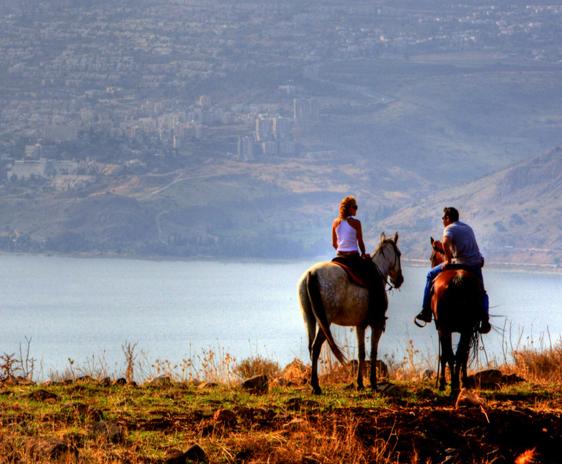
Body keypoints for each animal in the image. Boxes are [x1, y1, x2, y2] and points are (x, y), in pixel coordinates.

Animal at [296, 234, 400, 394]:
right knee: (316, 347)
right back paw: (316, 386)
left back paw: (314, 384)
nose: (399, 280)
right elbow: (373, 352)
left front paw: (360, 383)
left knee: (311, 346)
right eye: (399, 254)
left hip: (309, 319)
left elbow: (361, 353)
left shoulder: (360, 325)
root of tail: (311, 274)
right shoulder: (376, 324)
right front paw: (373, 383)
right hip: (325, 321)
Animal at [426, 237, 480, 394]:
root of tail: (458, 279)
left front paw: (442, 382)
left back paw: (453, 384)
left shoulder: (440, 328)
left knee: (451, 354)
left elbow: (444, 354)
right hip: (467, 328)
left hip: (446, 327)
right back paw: (459, 383)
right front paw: (462, 381)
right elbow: (460, 355)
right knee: (461, 354)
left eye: (432, 257)